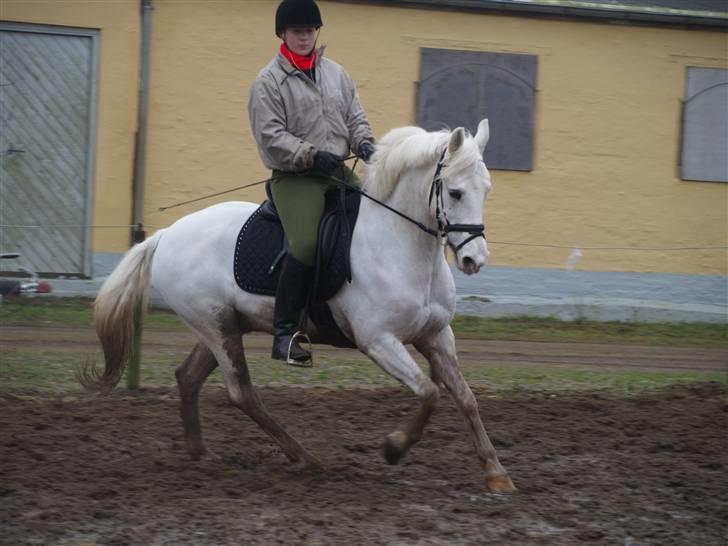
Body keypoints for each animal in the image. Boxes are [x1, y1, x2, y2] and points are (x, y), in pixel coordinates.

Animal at [82, 120, 516, 492]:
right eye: (455, 192)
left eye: (487, 190)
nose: (474, 260)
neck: (400, 243)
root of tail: (165, 234)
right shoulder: (378, 341)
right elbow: (429, 393)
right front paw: (394, 448)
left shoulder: (437, 336)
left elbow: (465, 398)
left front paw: (496, 473)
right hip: (217, 328)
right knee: (241, 393)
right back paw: (304, 458)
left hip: (223, 325)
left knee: (188, 378)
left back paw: (202, 454)